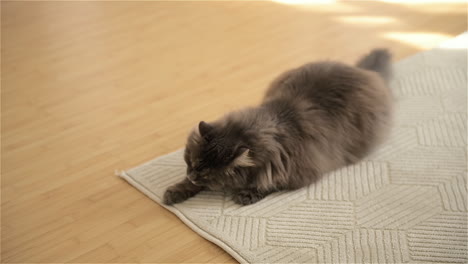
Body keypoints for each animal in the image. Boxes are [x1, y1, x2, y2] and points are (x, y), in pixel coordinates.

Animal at [163, 49, 394, 206]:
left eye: (207, 174)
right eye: (191, 163)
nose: (192, 175)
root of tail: (361, 70)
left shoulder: (300, 170)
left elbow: (269, 183)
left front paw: (247, 194)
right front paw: (175, 191)